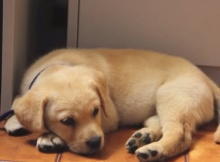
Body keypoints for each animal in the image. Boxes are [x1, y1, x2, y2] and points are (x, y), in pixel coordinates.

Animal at [3, 48, 220, 161]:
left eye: (96, 111)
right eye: (66, 121)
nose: (95, 142)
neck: (58, 65)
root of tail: (206, 79)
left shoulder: (109, 116)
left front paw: (49, 136)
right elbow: (16, 103)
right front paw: (14, 121)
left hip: (172, 96)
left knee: (181, 135)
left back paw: (154, 150)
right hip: (159, 104)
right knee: (159, 125)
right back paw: (142, 137)